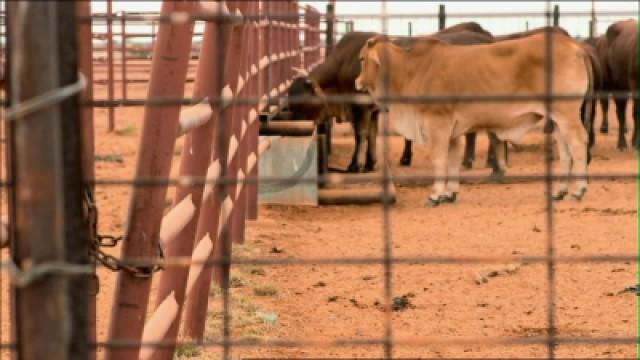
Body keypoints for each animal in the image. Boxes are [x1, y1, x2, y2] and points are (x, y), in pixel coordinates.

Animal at [356, 33, 596, 207]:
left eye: (362, 59)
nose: (357, 82)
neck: (412, 71)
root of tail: (575, 46)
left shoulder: (437, 124)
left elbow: (440, 160)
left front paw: (435, 195)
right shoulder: (452, 131)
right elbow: (453, 160)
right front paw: (449, 194)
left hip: (567, 114)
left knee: (578, 143)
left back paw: (578, 191)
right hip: (557, 119)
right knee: (565, 151)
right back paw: (559, 192)